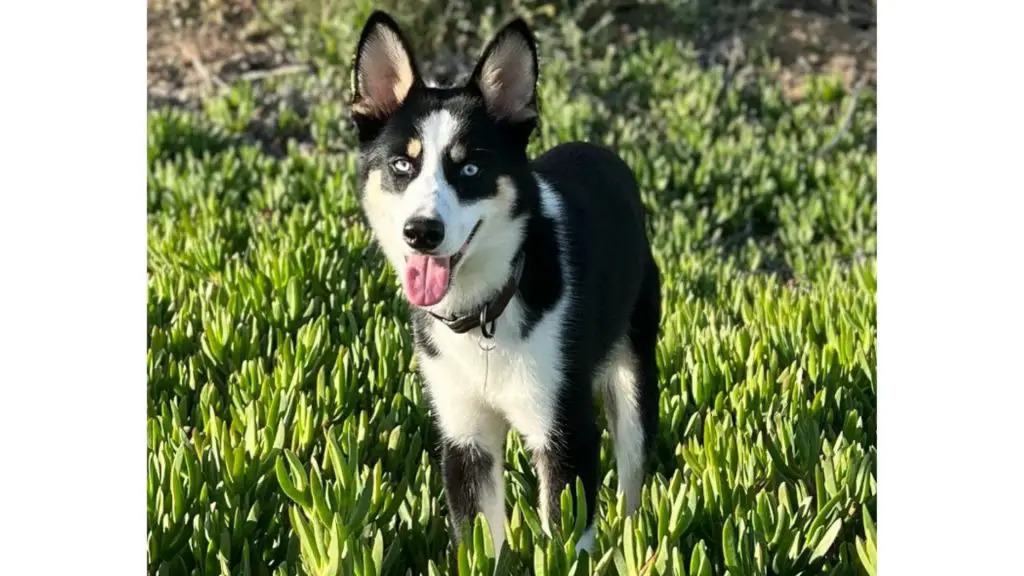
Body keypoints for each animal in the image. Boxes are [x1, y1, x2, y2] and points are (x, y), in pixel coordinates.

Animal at [348, 10, 659, 557]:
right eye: (402, 165)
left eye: (470, 167)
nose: (421, 232)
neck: (485, 312)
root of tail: (602, 153)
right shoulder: (464, 439)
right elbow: (479, 545)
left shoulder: (566, 435)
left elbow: (564, 546)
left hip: (634, 371)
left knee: (632, 478)